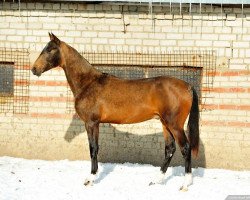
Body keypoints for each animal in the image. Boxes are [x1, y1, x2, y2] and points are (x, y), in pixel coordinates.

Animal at [31, 32, 199, 191]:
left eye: (50, 50)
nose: (34, 69)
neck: (88, 83)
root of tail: (188, 86)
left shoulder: (91, 123)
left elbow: (93, 149)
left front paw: (90, 179)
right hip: (165, 123)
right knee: (170, 149)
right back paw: (156, 181)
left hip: (174, 125)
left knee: (185, 148)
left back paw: (185, 184)